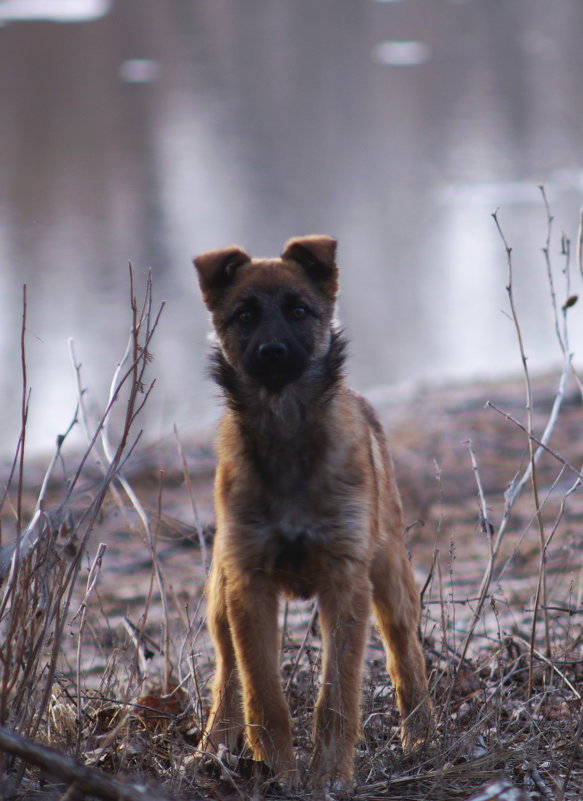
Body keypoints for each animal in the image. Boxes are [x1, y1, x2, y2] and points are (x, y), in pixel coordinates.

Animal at [195, 234, 434, 792]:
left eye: (299, 310)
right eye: (244, 314)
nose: (273, 352)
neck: (285, 428)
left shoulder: (345, 580)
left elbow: (337, 694)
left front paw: (328, 774)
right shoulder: (249, 584)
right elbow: (264, 693)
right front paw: (279, 773)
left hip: (390, 577)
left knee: (405, 654)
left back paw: (422, 737)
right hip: (221, 596)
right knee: (228, 672)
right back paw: (211, 747)